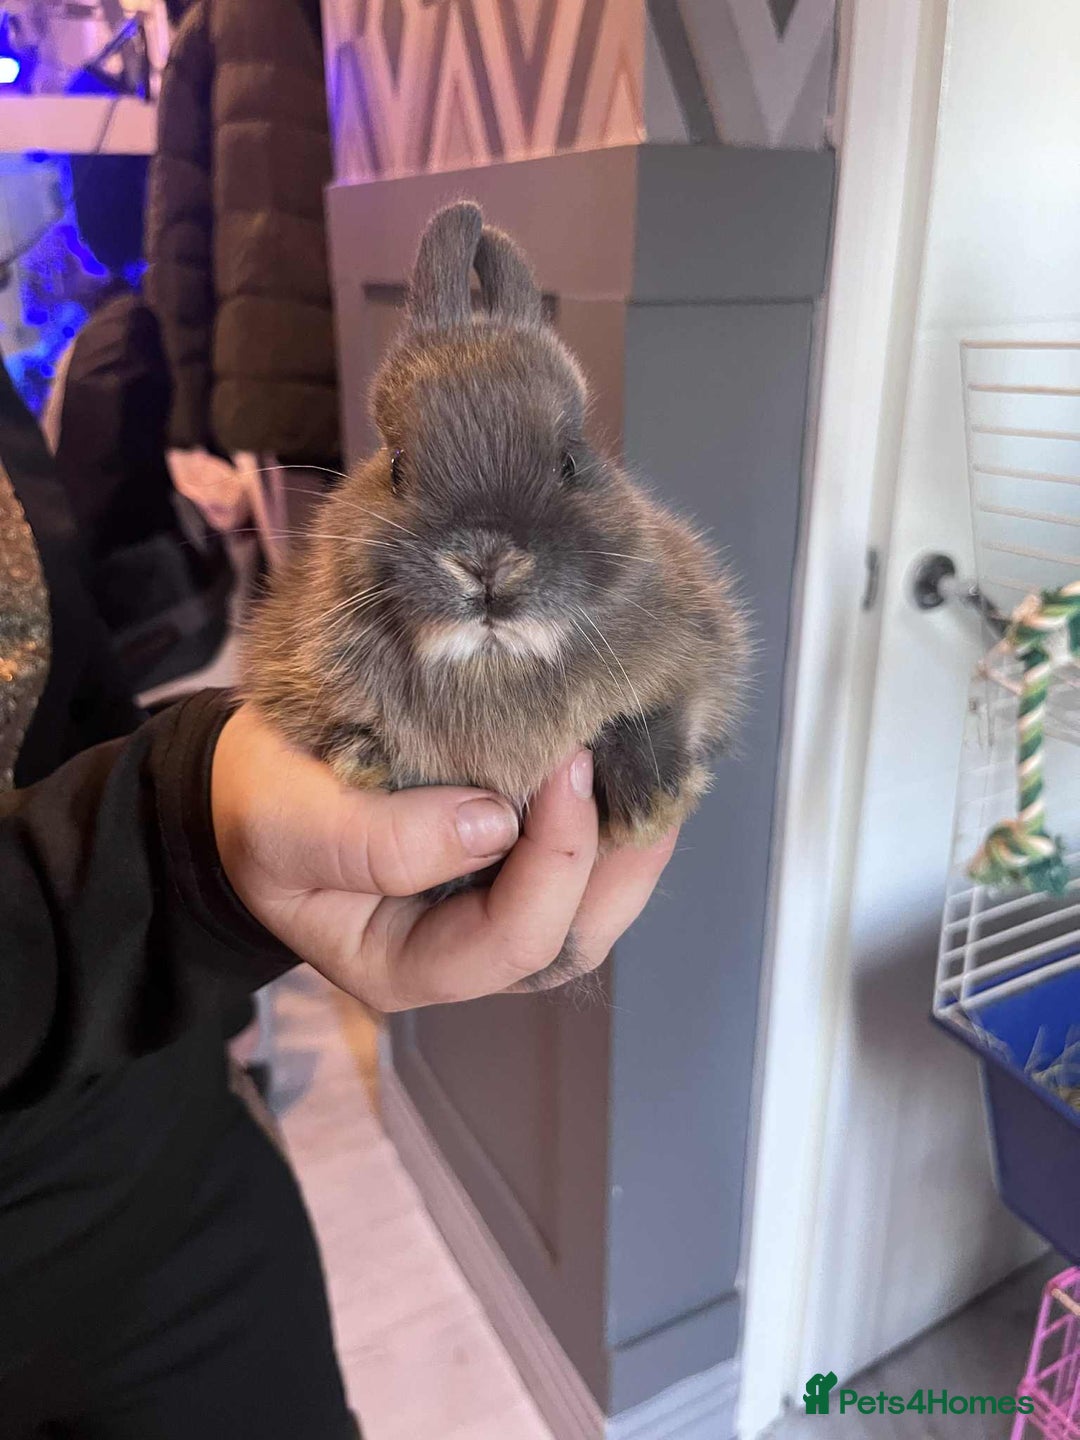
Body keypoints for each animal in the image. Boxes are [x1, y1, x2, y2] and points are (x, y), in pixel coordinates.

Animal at [241, 201, 750, 988]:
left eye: (569, 460)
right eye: (397, 466)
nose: (484, 560)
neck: (493, 663)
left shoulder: (706, 654)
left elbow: (673, 711)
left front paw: (650, 805)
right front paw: (367, 760)